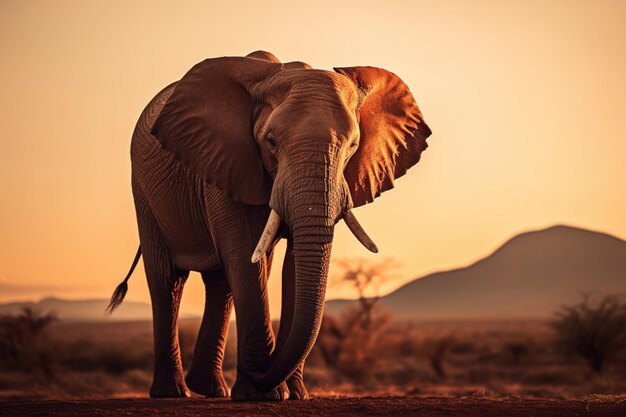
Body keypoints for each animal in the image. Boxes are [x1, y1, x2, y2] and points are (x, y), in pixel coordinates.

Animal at [106, 49, 428, 400]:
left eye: (353, 146)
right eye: (270, 142)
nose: (262, 373)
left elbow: (293, 266)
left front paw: (294, 395)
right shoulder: (231, 163)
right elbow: (246, 257)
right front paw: (261, 393)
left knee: (220, 283)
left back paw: (211, 389)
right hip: (144, 190)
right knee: (168, 279)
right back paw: (173, 392)